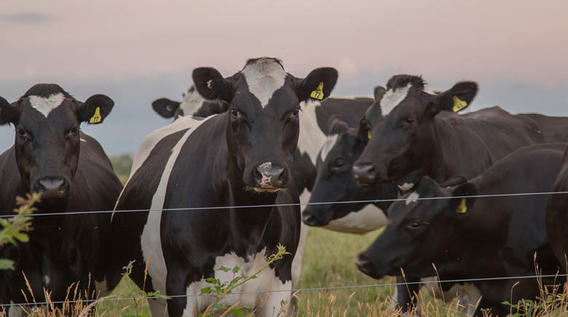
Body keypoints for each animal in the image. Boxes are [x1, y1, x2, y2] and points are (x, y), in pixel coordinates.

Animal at [111, 57, 338, 316]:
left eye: (294, 111)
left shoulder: (280, 284)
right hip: (156, 294)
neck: (246, 227)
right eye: (235, 111)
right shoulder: (178, 286)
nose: (268, 173)